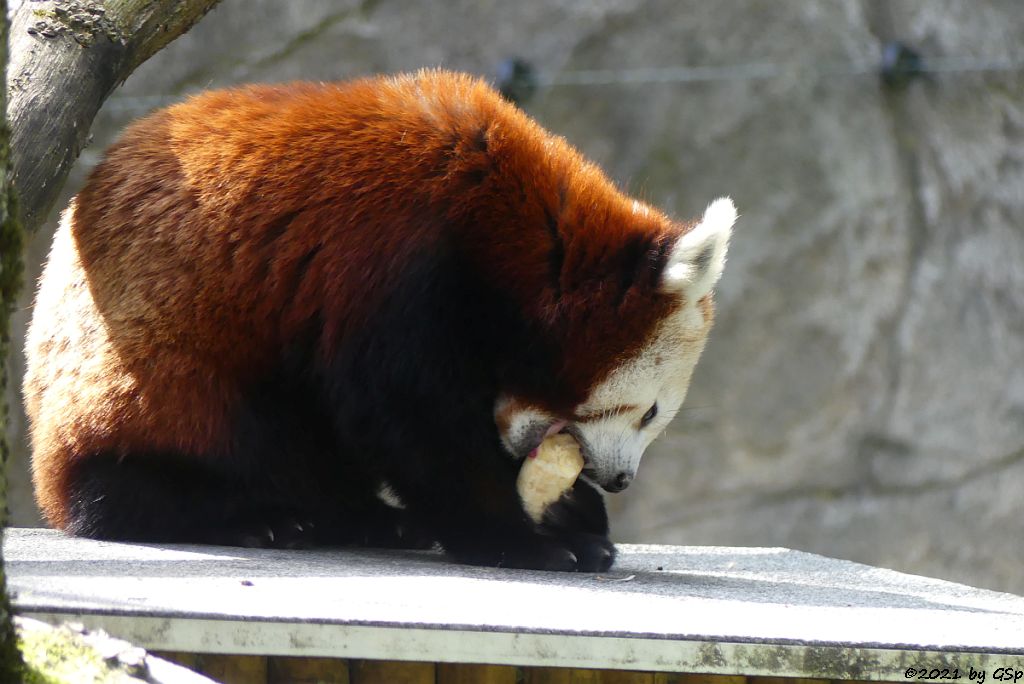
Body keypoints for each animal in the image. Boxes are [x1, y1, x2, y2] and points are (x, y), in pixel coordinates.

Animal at [24, 69, 737, 573]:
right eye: (649, 412)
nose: (620, 481)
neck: (504, 222)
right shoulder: (393, 263)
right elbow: (409, 417)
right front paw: (520, 539)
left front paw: (567, 511)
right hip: (150, 376)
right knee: (195, 443)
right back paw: (251, 516)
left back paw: (367, 518)